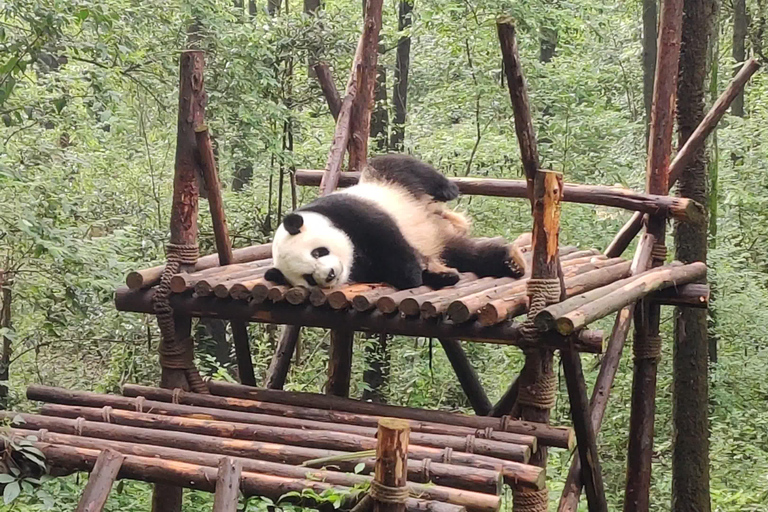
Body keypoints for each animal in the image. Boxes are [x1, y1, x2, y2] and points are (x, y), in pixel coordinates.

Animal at [265, 154, 527, 290]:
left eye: (318, 252)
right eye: (309, 277)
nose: (329, 275)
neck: (352, 258)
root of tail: (433, 216)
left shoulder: (349, 210)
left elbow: (389, 241)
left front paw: (412, 274)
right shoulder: (366, 270)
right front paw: (439, 276)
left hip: (390, 183)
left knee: (396, 164)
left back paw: (448, 189)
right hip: (441, 241)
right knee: (466, 253)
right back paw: (508, 262)